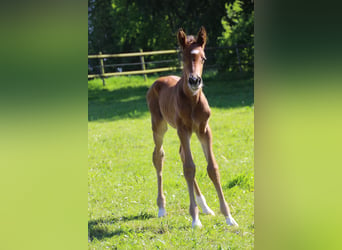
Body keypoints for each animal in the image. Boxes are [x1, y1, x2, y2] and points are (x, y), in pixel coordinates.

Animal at [146, 27, 238, 229]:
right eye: (183, 58)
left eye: (203, 58)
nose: (195, 81)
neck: (193, 101)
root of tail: (158, 79)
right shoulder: (183, 129)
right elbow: (189, 168)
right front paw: (195, 219)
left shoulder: (204, 130)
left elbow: (212, 168)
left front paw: (228, 217)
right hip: (159, 127)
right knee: (158, 156)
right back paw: (162, 207)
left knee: (181, 154)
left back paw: (206, 207)